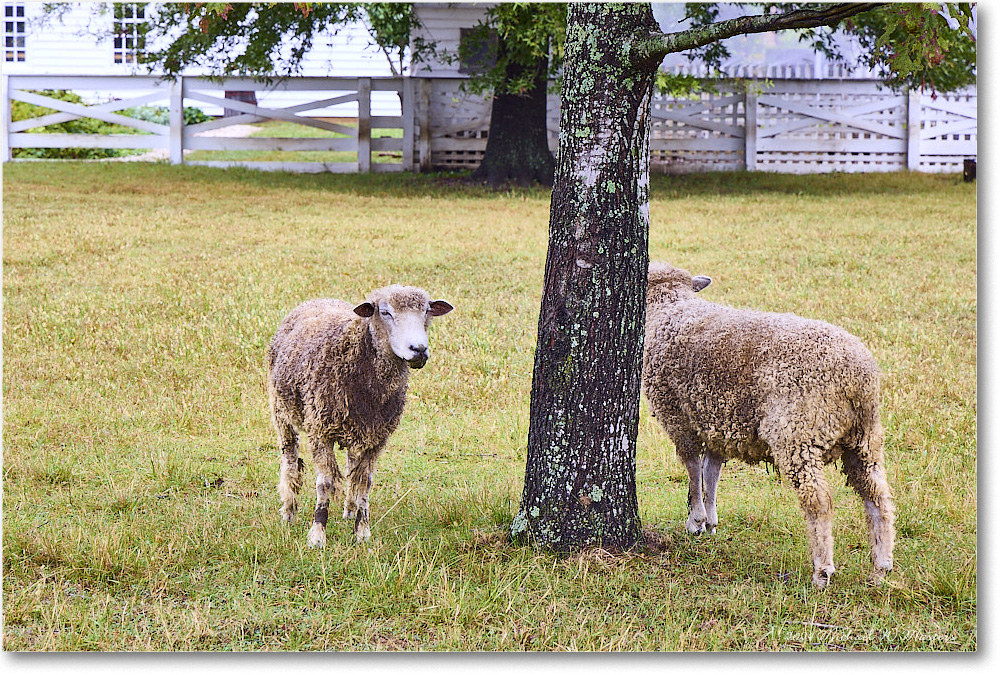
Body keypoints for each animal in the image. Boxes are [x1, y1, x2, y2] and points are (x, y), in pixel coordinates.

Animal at [266, 284, 454, 544]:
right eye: (385, 312)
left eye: (426, 311)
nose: (418, 350)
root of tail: (318, 299)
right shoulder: (319, 430)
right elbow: (325, 483)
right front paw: (317, 534)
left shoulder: (378, 436)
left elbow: (364, 482)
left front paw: (362, 531)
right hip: (281, 409)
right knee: (290, 458)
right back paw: (288, 510)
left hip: (357, 426)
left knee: (351, 466)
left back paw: (349, 510)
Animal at [644, 262, 896, 588]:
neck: (669, 309)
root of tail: (856, 376)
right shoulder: (718, 421)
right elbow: (711, 471)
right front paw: (711, 521)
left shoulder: (676, 415)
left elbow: (691, 467)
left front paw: (696, 520)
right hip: (865, 437)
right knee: (877, 495)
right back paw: (881, 566)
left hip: (798, 433)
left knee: (818, 501)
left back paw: (822, 571)